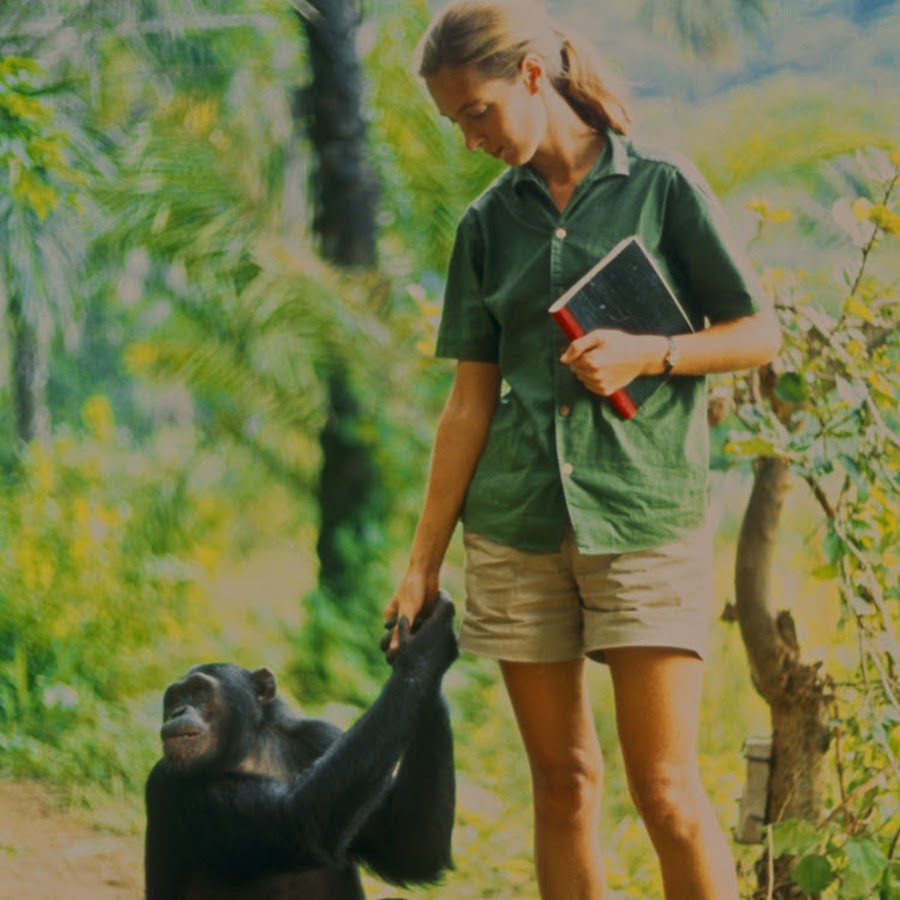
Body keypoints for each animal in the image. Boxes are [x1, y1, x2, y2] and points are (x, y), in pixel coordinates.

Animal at [147, 596, 460, 896]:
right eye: (173, 698)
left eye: (199, 692)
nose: (178, 711)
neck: (250, 753)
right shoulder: (168, 785)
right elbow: (295, 818)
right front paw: (424, 647)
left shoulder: (322, 737)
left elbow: (409, 849)